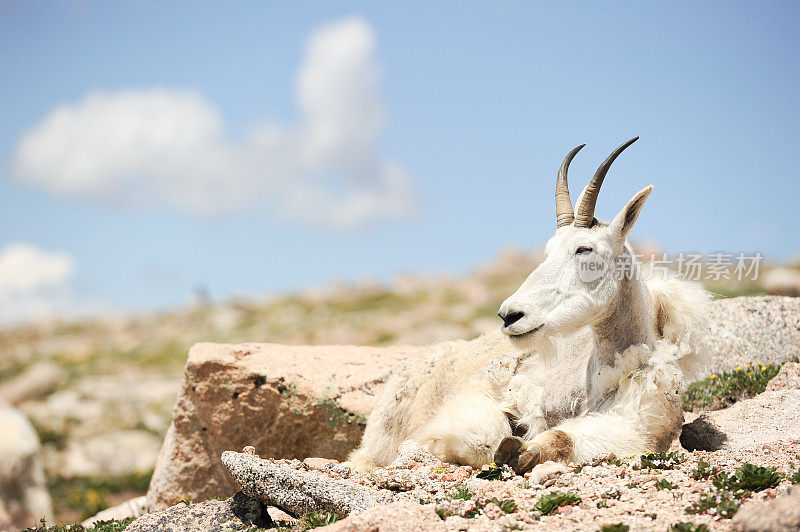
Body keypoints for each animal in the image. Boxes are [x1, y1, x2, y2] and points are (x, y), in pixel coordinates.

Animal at [346, 137, 708, 474]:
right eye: (547, 251)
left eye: (585, 249)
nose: (510, 315)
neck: (599, 377)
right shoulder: (488, 396)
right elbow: (486, 435)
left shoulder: (633, 425)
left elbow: (562, 438)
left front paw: (523, 451)